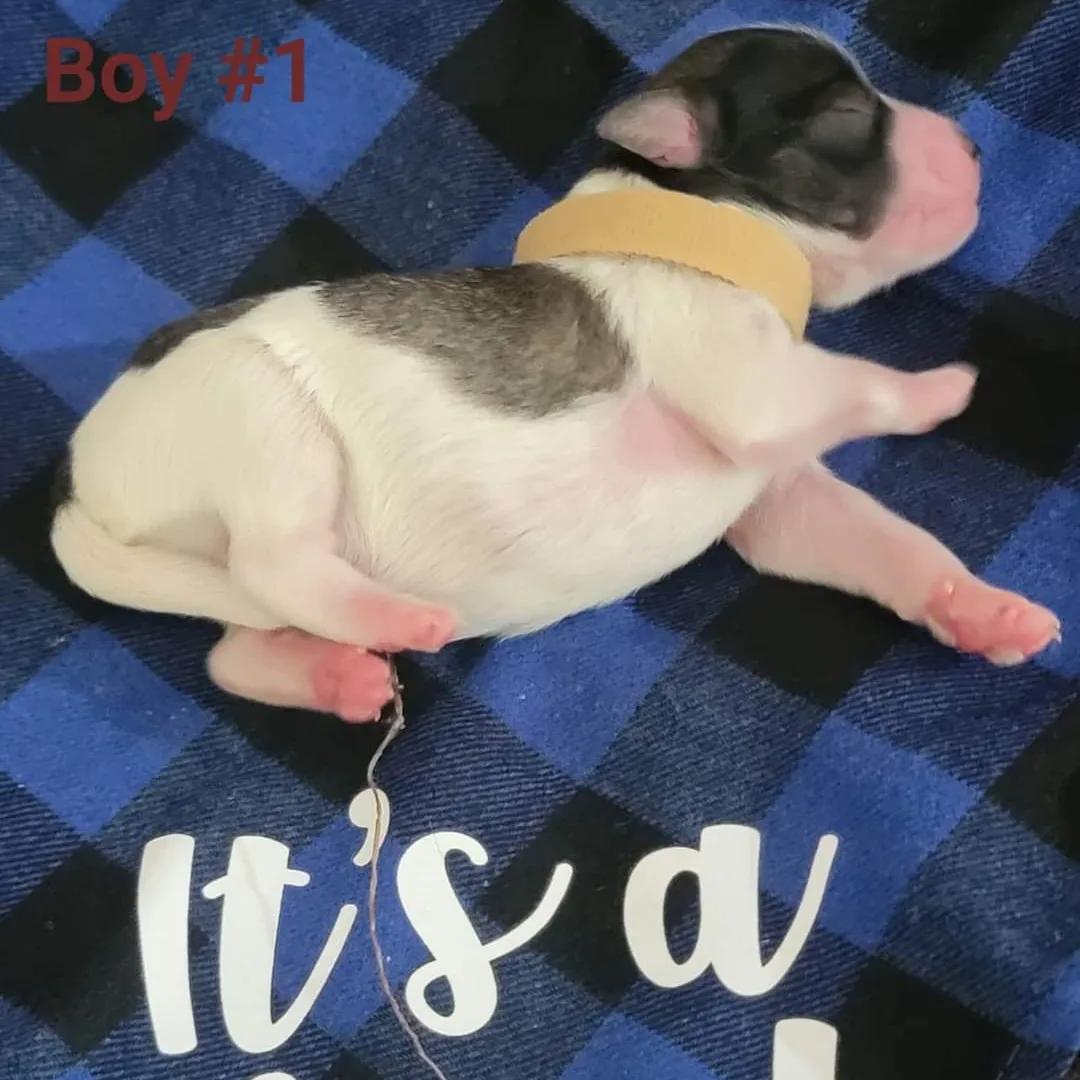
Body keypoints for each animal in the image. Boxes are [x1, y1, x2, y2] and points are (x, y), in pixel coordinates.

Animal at [50, 26, 1060, 723]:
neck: (702, 218)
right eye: (849, 117)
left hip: (215, 560)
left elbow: (883, 543)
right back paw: (396, 619)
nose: (975, 149)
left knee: (233, 646)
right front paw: (942, 389)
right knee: (277, 559)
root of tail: (78, 501)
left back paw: (336, 673)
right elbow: (853, 381)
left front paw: (980, 611)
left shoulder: (777, 495)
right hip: (261, 418)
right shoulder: (751, 386)